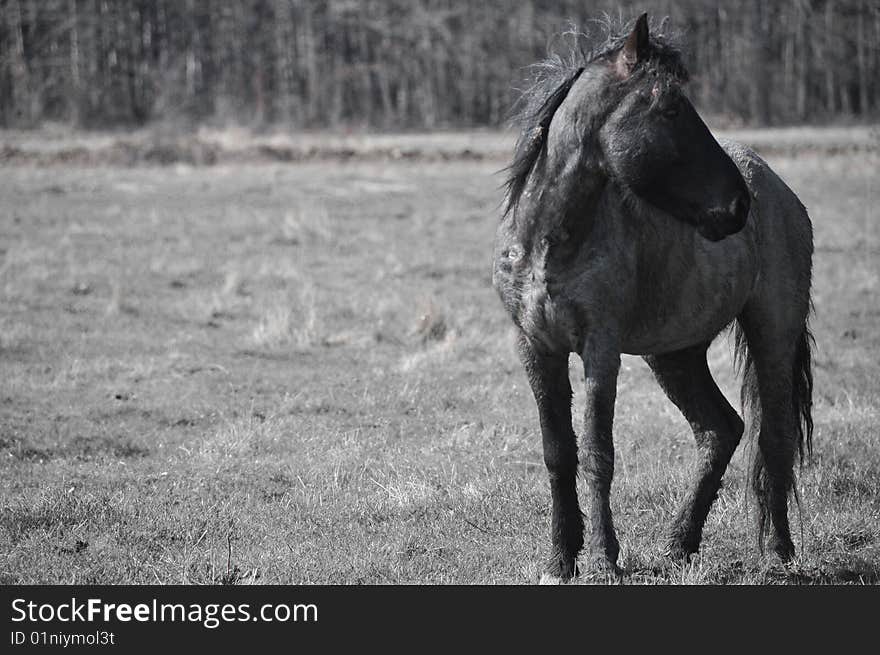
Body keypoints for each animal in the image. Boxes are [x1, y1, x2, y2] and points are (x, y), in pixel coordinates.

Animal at [492, 12, 816, 580]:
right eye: (669, 108)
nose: (736, 205)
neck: (549, 242)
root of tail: (776, 187)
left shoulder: (600, 350)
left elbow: (598, 452)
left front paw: (605, 559)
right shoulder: (536, 348)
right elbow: (558, 452)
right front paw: (560, 559)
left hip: (774, 334)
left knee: (772, 435)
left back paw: (777, 551)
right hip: (675, 354)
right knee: (719, 430)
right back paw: (679, 543)